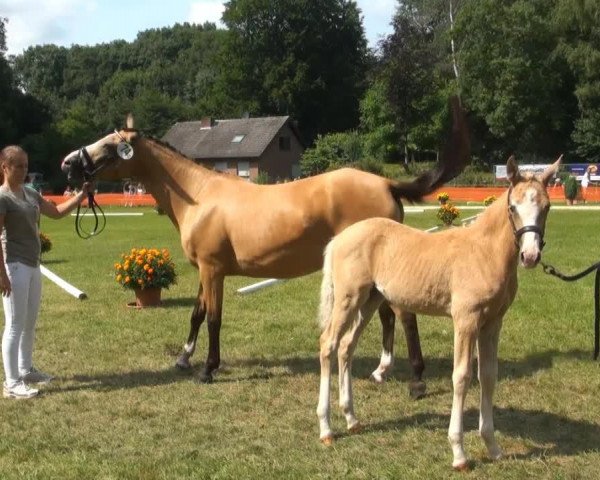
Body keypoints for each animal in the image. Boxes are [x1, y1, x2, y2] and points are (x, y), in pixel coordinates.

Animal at [316, 157, 560, 468]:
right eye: (513, 208)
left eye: (547, 207)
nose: (530, 256)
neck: (483, 252)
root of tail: (338, 239)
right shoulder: (465, 320)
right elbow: (462, 377)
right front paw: (459, 453)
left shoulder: (492, 323)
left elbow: (488, 376)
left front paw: (492, 447)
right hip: (348, 299)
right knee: (328, 344)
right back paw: (326, 429)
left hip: (369, 300)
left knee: (347, 347)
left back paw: (352, 419)